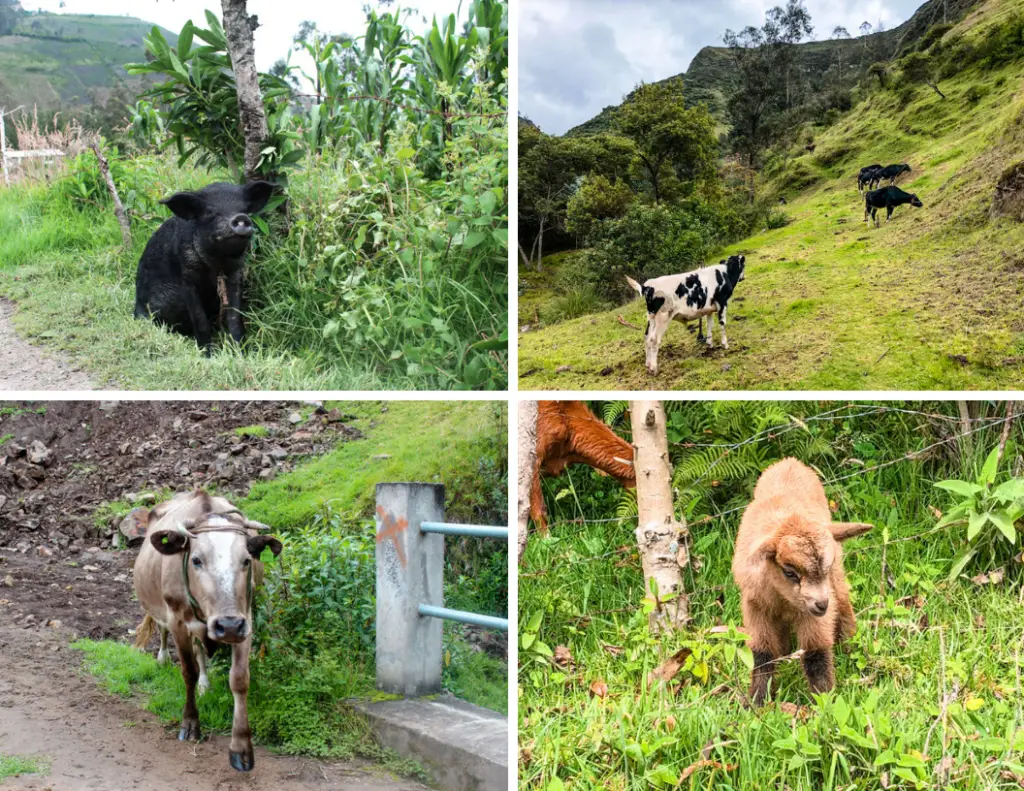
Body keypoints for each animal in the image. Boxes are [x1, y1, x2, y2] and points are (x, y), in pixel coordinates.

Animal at [134, 180, 274, 354]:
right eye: (210, 212)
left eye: (245, 210)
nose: (240, 218)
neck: (218, 264)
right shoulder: (188, 278)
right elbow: (200, 319)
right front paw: (208, 355)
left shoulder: (235, 275)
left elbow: (235, 317)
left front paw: (241, 353)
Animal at [134, 491, 284, 770]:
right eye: (196, 560)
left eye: (246, 560)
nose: (227, 626)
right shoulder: (177, 620)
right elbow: (188, 672)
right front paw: (190, 724)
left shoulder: (245, 619)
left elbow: (239, 679)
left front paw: (241, 748)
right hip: (161, 609)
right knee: (162, 630)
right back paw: (162, 657)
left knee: (200, 648)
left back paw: (205, 684)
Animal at [729, 456, 872, 704]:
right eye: (790, 572)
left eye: (825, 567)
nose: (822, 604)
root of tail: (790, 461)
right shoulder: (755, 606)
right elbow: (762, 654)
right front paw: (758, 700)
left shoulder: (814, 613)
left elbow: (816, 654)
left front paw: (824, 702)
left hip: (837, 579)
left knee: (843, 603)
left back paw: (850, 646)